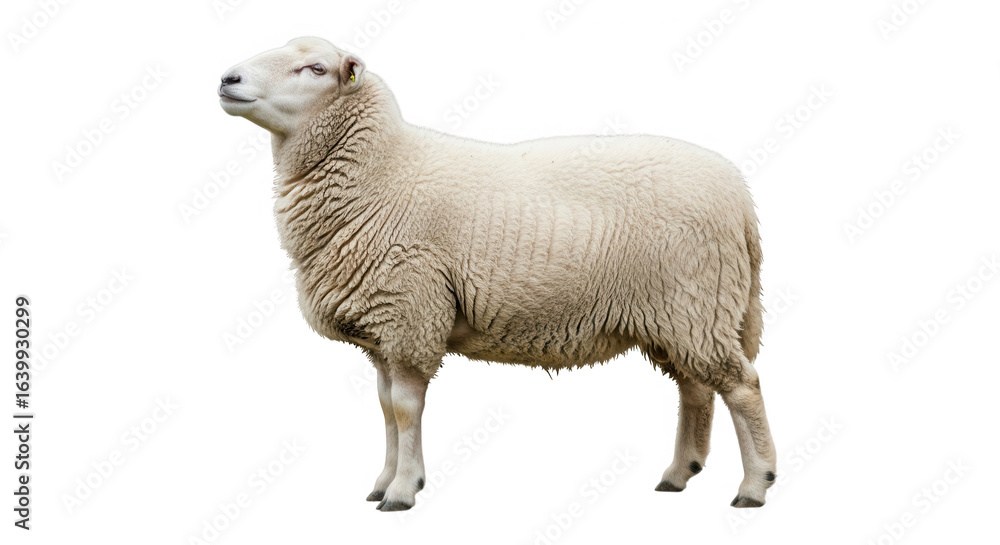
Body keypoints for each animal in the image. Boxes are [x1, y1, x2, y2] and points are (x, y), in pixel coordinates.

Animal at [219, 36, 776, 512]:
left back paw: (755, 484)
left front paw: (402, 490)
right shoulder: (384, 330)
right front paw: (382, 482)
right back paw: (680, 474)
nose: (227, 78)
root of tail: (739, 194)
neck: (382, 172)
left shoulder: (411, 314)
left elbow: (404, 409)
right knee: (696, 389)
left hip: (696, 302)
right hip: (679, 314)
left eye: (315, 68)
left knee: (742, 386)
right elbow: (384, 410)